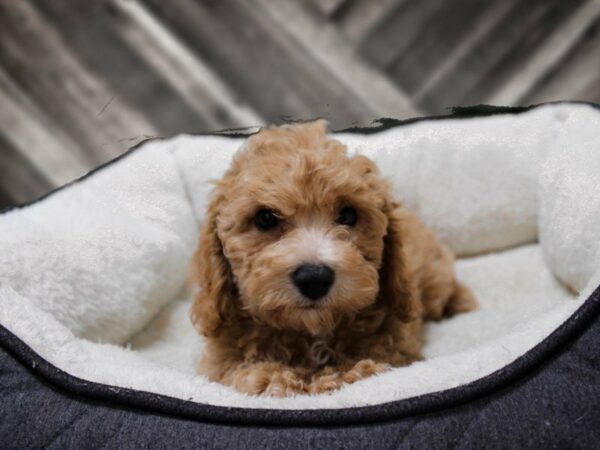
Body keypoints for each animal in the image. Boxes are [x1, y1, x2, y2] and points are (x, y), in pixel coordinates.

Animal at [190, 120, 476, 398]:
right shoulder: (219, 362)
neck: (311, 332)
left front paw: (345, 374)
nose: (314, 279)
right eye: (266, 218)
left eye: (348, 215)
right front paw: (275, 379)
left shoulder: (398, 348)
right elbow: (243, 373)